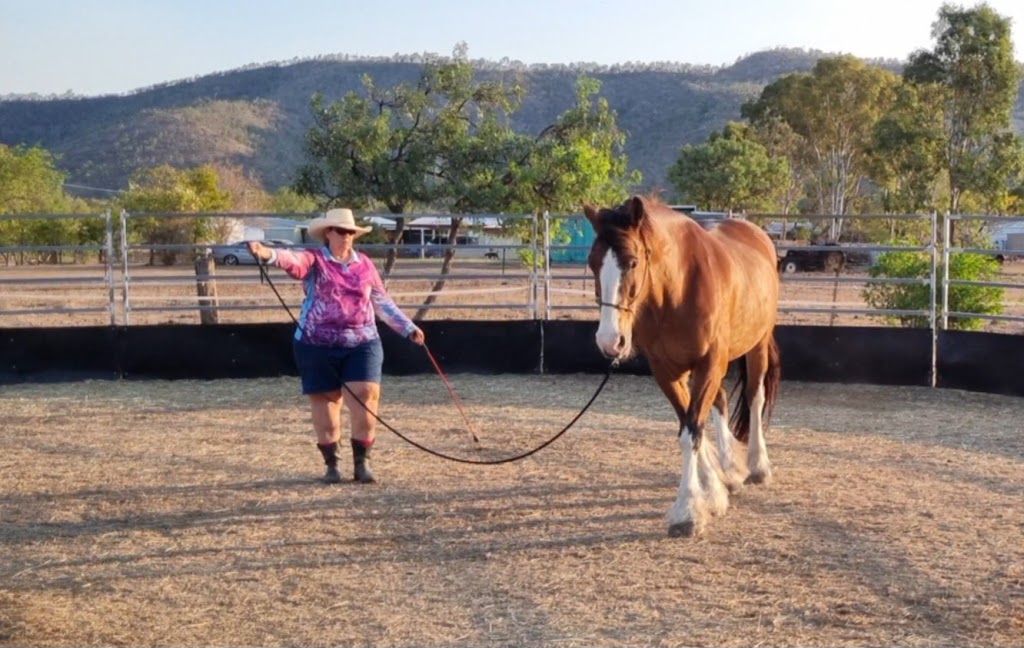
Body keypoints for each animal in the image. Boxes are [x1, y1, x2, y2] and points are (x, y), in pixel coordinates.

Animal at [585, 195, 782, 536]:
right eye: (592, 263)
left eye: (633, 262)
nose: (610, 341)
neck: (677, 291)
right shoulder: (666, 371)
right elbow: (688, 425)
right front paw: (712, 491)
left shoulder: (708, 364)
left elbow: (692, 430)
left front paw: (687, 511)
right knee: (720, 402)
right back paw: (730, 471)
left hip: (756, 345)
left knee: (754, 399)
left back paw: (758, 465)